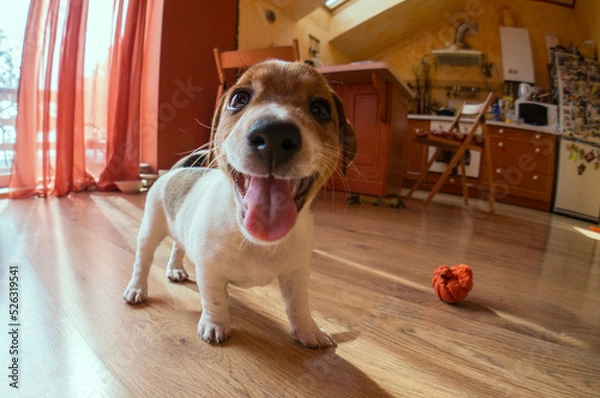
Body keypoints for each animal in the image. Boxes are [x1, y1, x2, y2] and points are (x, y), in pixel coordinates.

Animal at [122, 59, 356, 348]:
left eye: (321, 109)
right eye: (238, 99)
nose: (274, 134)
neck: (254, 239)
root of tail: (177, 170)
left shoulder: (296, 275)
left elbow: (299, 305)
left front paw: (308, 330)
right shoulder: (210, 271)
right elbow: (215, 300)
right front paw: (215, 325)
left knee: (178, 247)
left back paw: (175, 269)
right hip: (150, 232)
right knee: (142, 262)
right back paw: (136, 289)